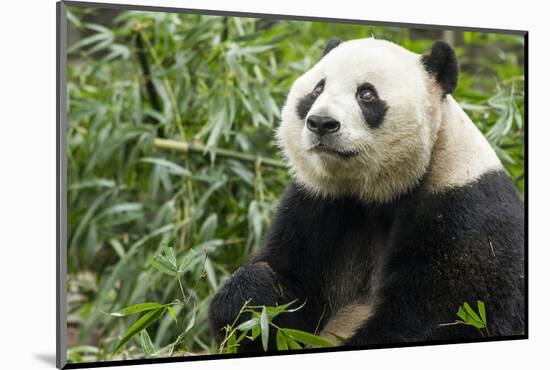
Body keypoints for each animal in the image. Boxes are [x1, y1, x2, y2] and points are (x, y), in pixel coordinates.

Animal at [209, 38, 528, 352]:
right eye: (317, 89)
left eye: (366, 94)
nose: (321, 123)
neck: (373, 193)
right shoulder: (316, 203)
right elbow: (284, 302)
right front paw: (251, 297)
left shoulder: (464, 213)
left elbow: (441, 316)